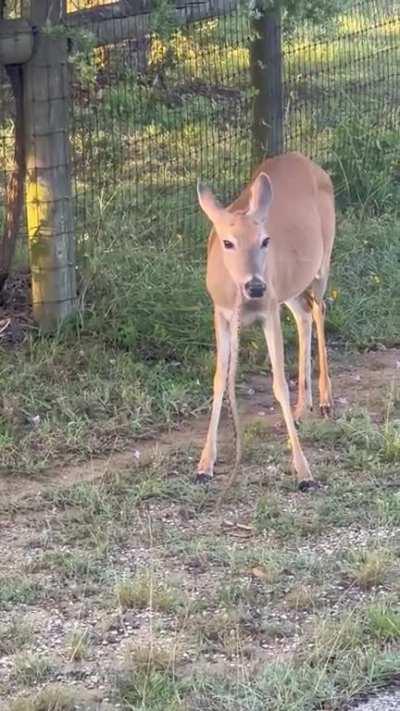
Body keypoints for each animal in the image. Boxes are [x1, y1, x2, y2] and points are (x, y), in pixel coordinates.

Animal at [196, 151, 335, 491]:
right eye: (228, 242)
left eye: (265, 240)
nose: (256, 286)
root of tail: (307, 160)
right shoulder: (220, 312)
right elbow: (219, 379)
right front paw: (205, 464)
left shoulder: (268, 310)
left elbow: (279, 384)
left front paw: (304, 472)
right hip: (289, 286)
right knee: (304, 313)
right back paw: (302, 408)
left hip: (322, 261)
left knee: (320, 308)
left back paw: (325, 400)